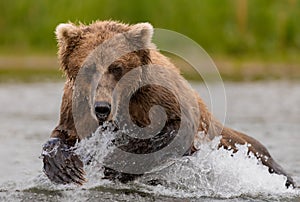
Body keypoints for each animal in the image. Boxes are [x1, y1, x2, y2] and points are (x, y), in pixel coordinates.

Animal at [41, 20, 294, 188]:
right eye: (90, 68)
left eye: (117, 67)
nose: (102, 108)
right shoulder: (76, 104)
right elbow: (63, 133)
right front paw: (66, 169)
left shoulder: (158, 98)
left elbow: (171, 132)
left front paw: (114, 162)